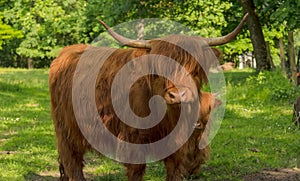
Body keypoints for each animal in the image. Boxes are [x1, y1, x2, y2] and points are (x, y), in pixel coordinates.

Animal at [48, 14, 246, 181]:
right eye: (160, 69)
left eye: (195, 68)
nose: (178, 95)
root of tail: (67, 52)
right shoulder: (133, 141)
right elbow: (136, 171)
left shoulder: (178, 146)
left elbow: (174, 171)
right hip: (66, 129)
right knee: (72, 161)